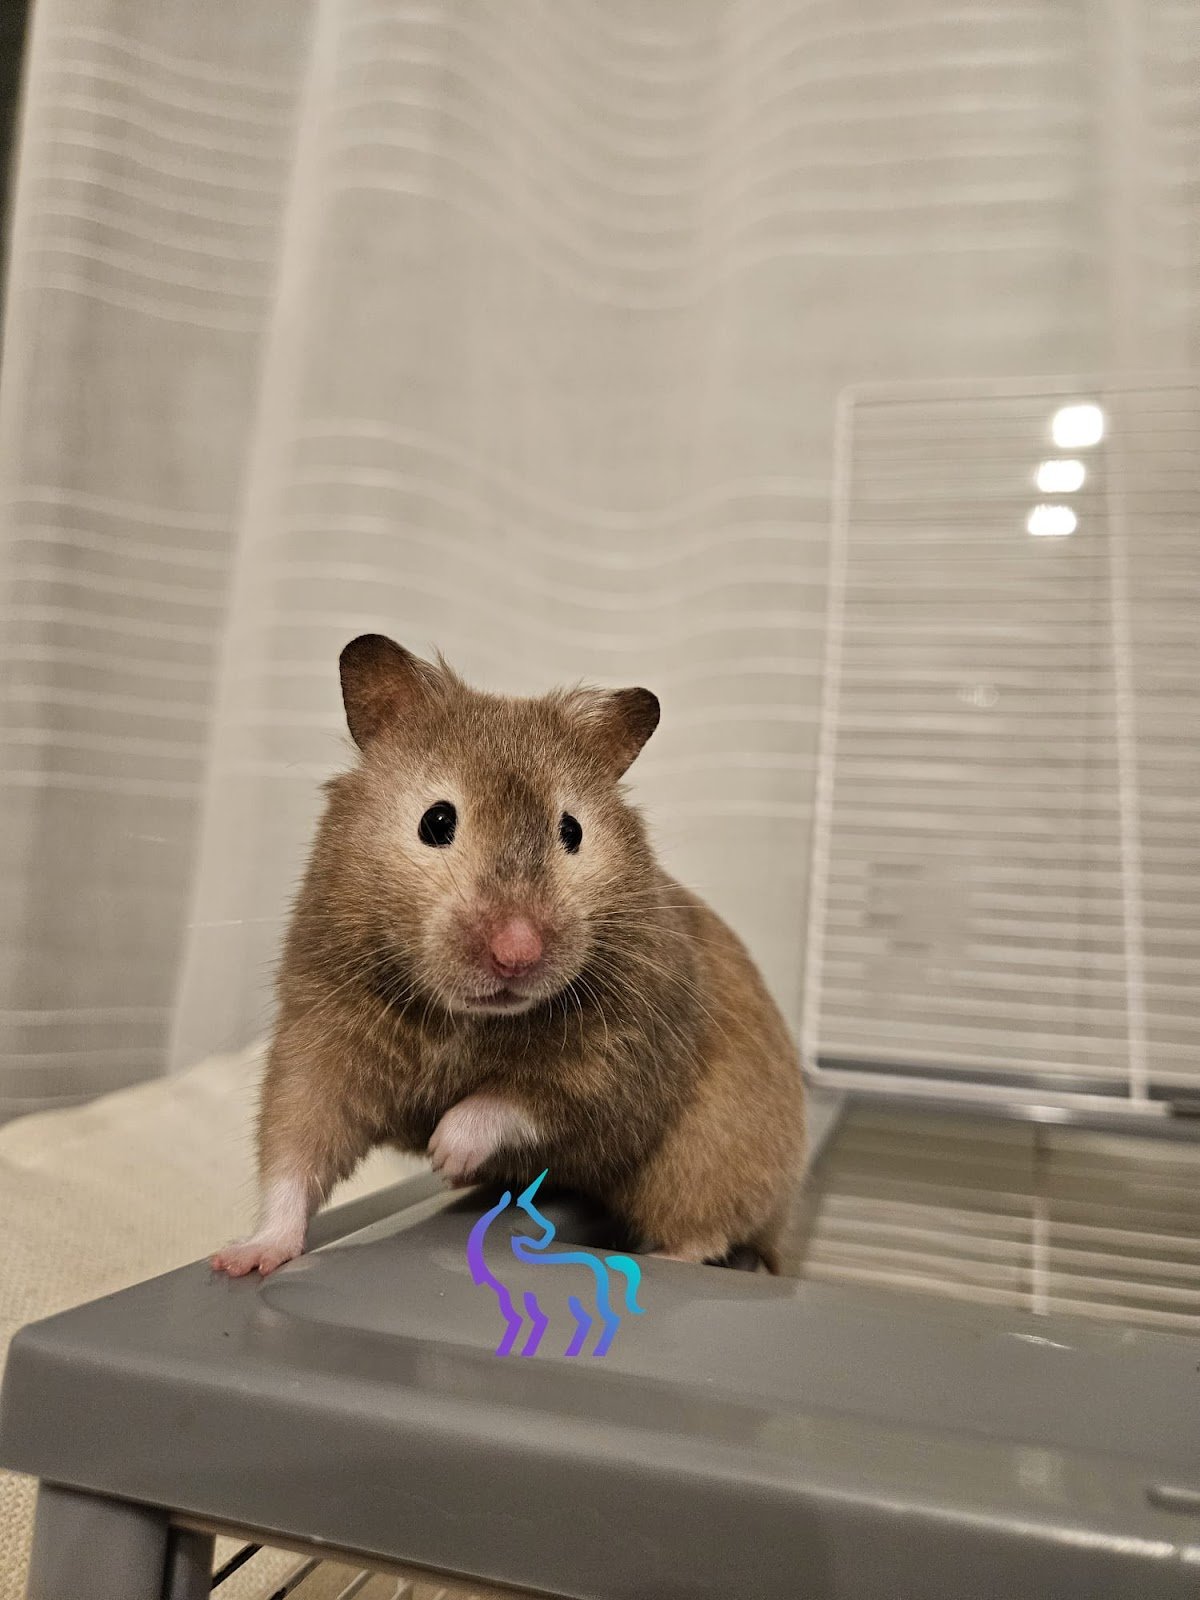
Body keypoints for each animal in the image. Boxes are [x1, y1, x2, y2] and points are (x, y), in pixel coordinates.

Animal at [211, 635, 805, 1278]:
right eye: (436, 820)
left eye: (572, 831)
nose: (517, 953)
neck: (466, 1020)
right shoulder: (319, 1038)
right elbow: (294, 1152)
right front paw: (241, 1261)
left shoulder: (621, 1068)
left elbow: (513, 1100)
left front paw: (444, 1152)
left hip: (709, 1165)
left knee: (709, 1232)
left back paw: (665, 1256)